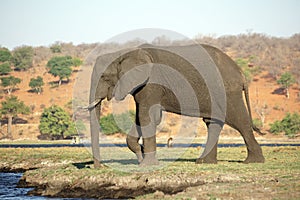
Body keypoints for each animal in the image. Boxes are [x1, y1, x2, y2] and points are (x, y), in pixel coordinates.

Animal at [88, 43, 264, 167]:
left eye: (104, 77)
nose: (99, 167)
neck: (126, 52)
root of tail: (241, 72)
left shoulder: (152, 83)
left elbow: (147, 116)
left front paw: (146, 164)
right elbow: (141, 117)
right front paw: (142, 155)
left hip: (228, 91)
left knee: (239, 120)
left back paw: (253, 161)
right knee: (212, 122)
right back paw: (203, 162)